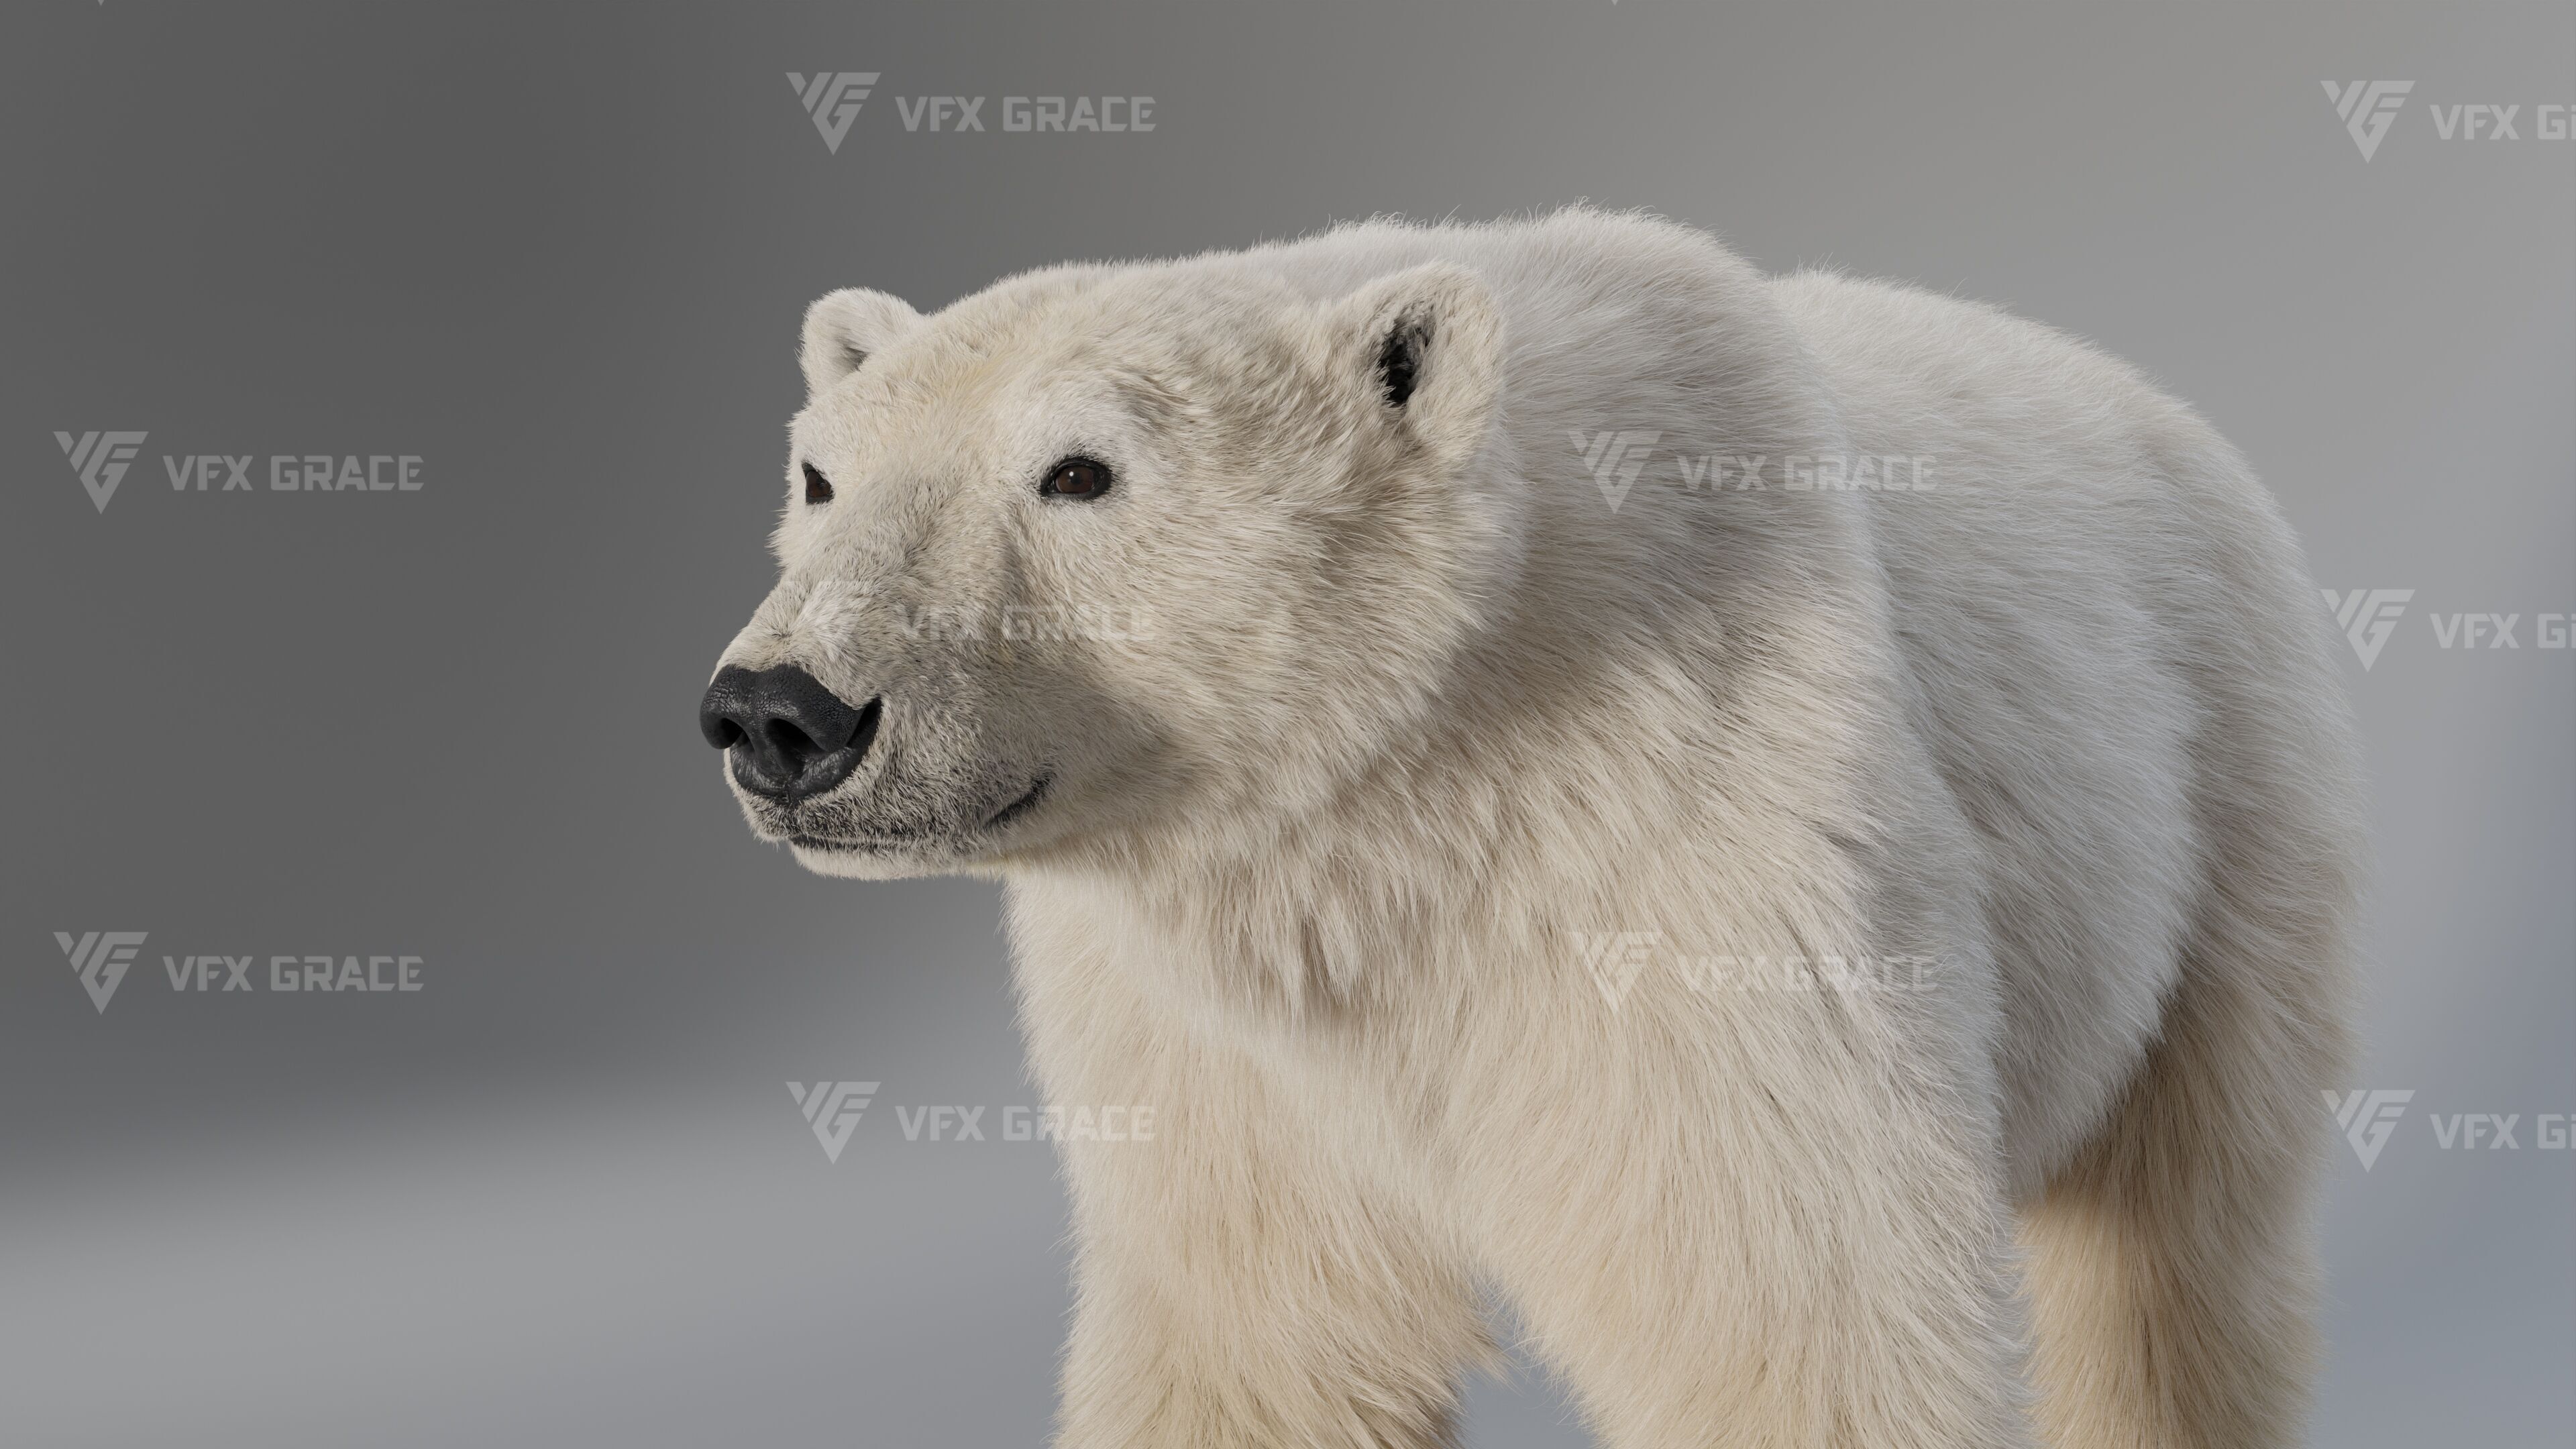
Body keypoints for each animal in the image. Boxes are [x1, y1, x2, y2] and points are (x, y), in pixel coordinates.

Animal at [700, 207, 2364, 1449]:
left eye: (1079, 471)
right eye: (819, 472)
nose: (782, 714)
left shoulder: (1696, 833)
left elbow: (1786, 1298)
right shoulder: (1211, 1018)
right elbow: (1262, 1327)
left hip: (2221, 797)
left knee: (2174, 1245)